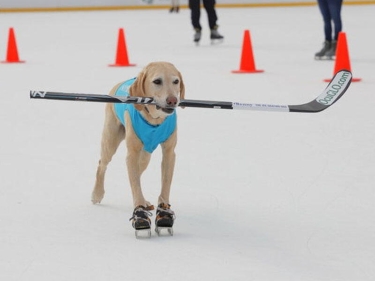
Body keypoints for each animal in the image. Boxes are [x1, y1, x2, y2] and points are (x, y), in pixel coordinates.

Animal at [91, 61, 185, 236]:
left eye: (176, 81)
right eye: (157, 81)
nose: (172, 100)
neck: (155, 119)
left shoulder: (169, 153)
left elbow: (165, 185)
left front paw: (163, 214)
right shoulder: (132, 153)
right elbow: (134, 184)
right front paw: (140, 215)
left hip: (145, 155)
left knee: (138, 173)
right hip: (110, 141)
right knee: (102, 165)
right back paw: (97, 193)